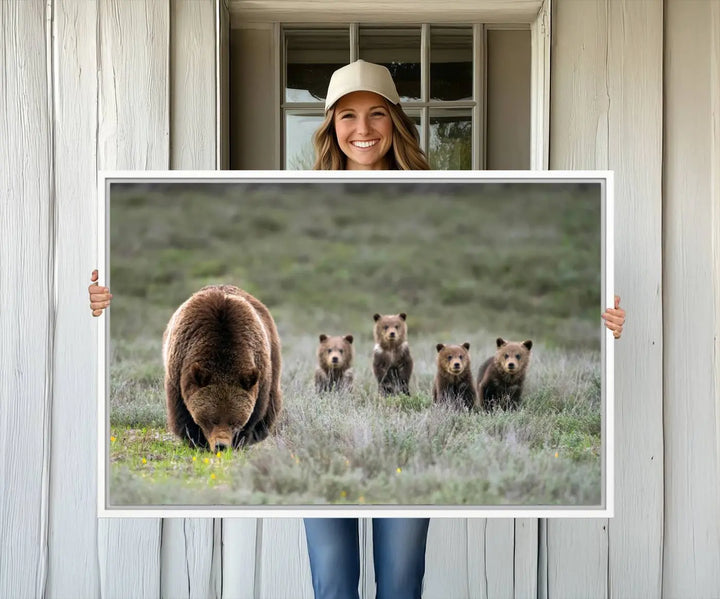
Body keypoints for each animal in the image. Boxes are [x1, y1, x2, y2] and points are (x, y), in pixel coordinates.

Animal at [162, 284, 282, 450]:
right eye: (212, 419)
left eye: (234, 421)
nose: (221, 445)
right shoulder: (179, 371)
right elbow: (182, 413)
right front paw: (196, 441)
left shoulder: (260, 374)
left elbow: (255, 413)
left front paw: (240, 441)